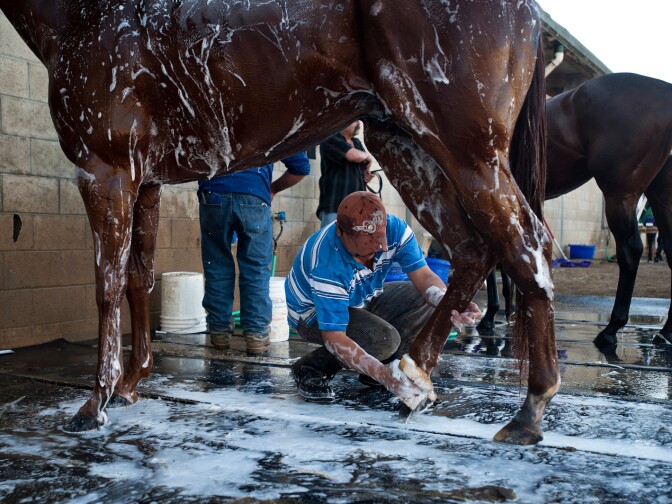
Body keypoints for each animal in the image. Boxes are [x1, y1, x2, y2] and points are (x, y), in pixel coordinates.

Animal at [0, 0, 556, 445]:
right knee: (472, 250)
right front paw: (131, 384)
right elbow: (138, 278)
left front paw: (96, 403)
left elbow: (108, 285)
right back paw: (411, 379)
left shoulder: (104, 171)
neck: (83, 15)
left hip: (465, 149)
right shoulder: (146, 181)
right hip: (405, 141)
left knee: (526, 243)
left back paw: (528, 412)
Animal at [477, 73, 672, 349]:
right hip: (661, 195)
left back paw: (610, 330)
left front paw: (492, 314)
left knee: (630, 251)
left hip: (620, 195)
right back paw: (665, 333)